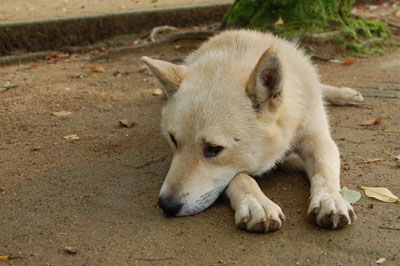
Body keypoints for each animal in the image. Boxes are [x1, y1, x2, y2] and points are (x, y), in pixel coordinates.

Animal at [143, 29, 362, 233]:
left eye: (213, 149)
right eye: (173, 140)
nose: (166, 205)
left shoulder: (319, 140)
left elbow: (324, 170)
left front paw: (330, 200)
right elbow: (240, 176)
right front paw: (257, 204)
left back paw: (345, 94)